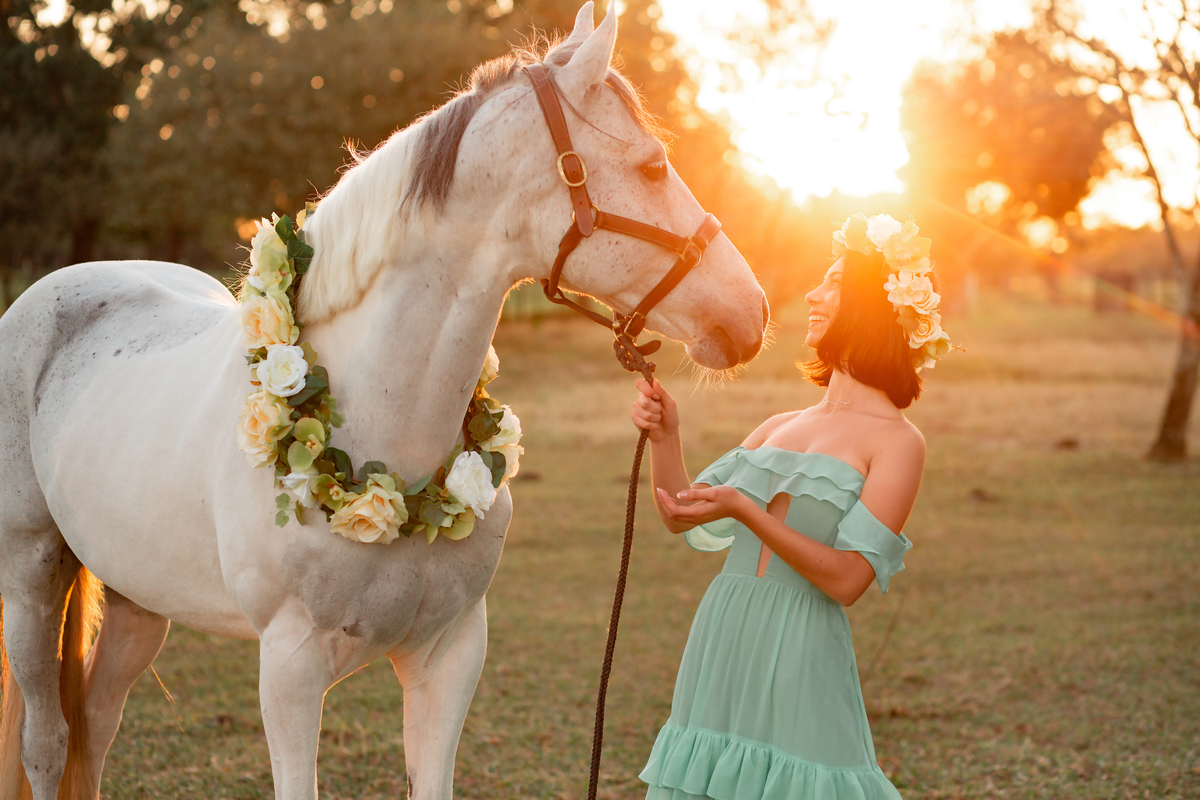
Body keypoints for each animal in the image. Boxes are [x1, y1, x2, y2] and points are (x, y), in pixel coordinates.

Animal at [0, 4, 768, 798]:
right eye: (652, 165)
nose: (752, 313)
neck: (384, 428)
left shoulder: (450, 657)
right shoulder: (289, 669)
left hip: (139, 602)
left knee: (95, 725)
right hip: (31, 579)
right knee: (48, 742)